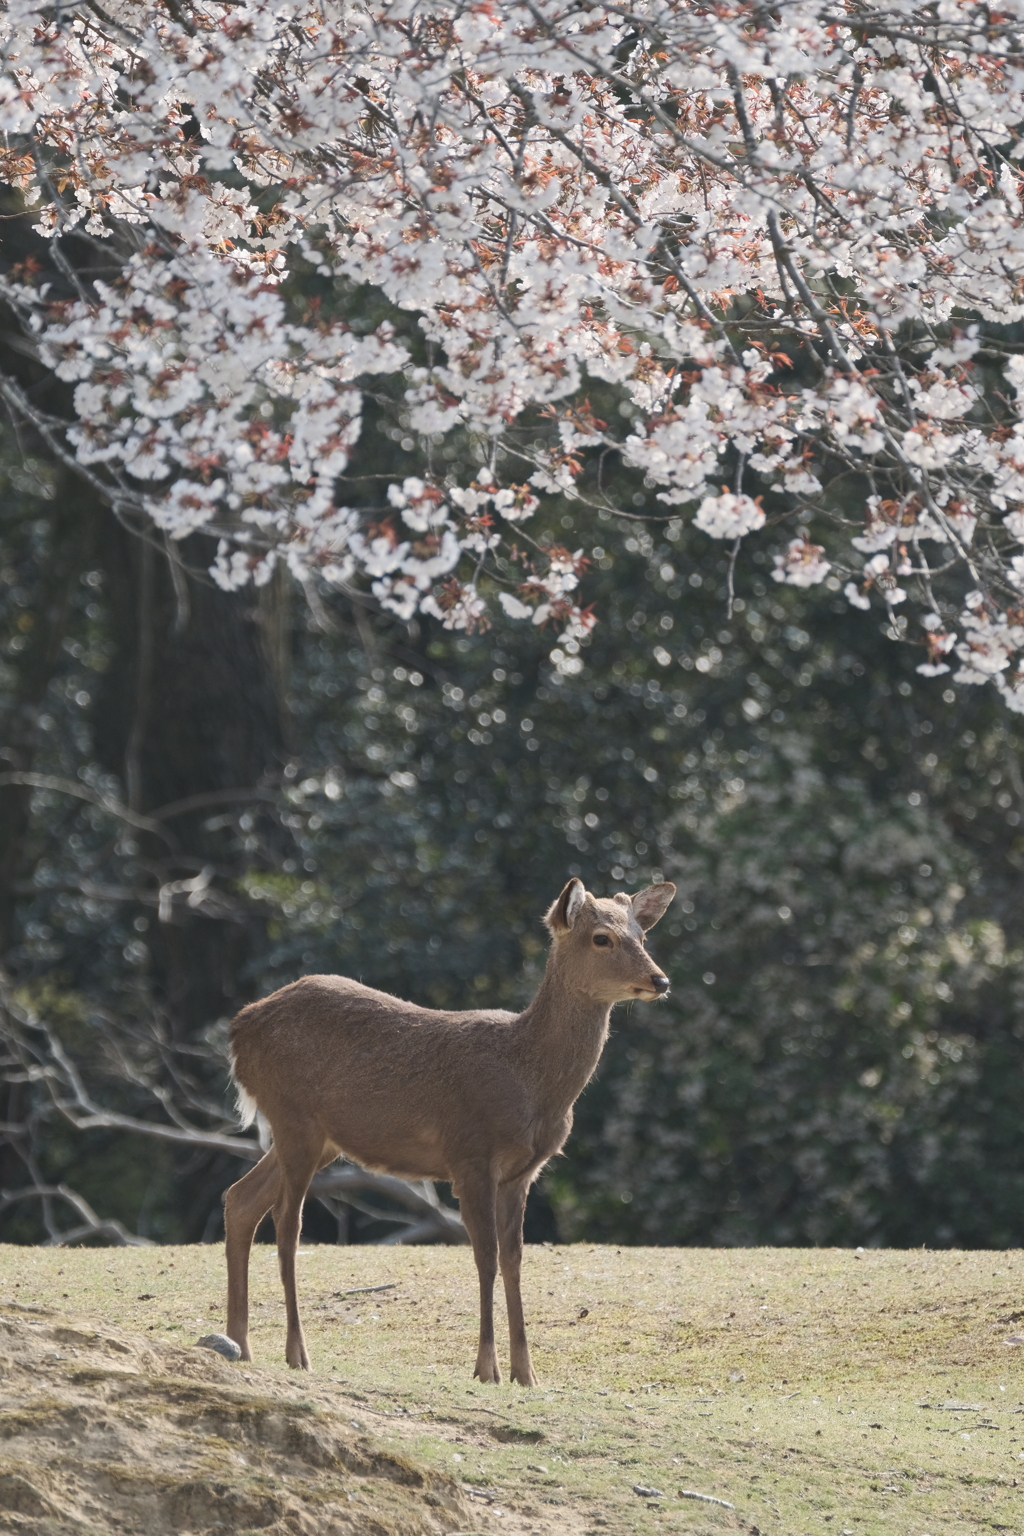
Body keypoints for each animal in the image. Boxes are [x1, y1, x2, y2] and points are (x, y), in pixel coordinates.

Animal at [222, 872, 672, 1388]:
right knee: (286, 1223)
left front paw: (526, 1372)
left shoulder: (522, 1173)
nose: (660, 980)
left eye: (641, 935)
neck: (530, 1083)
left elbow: (514, 1259)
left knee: (241, 1199)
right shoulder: (470, 1154)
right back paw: (297, 1352)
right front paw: (486, 1368)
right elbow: (486, 1256)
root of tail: (237, 1029)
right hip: (294, 1117)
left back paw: (239, 1343)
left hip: (316, 1137)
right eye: (601, 937)